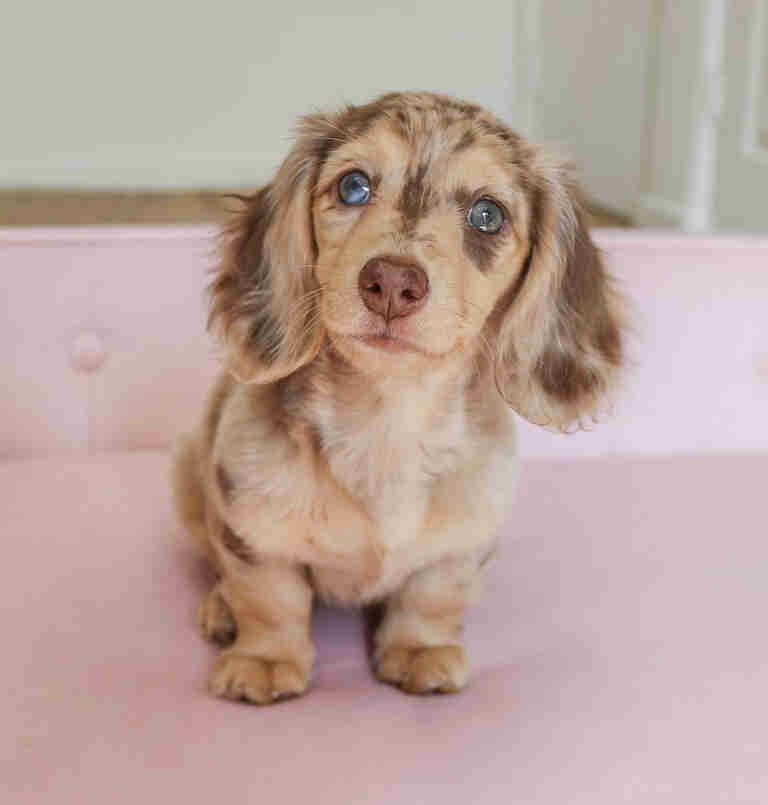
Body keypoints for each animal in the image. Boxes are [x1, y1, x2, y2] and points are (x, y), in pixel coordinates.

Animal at [170, 91, 624, 700]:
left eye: (487, 215)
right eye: (353, 186)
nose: (391, 282)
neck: (387, 424)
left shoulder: (462, 545)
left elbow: (431, 598)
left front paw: (419, 650)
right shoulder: (251, 527)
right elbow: (269, 597)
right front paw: (264, 659)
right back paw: (221, 609)